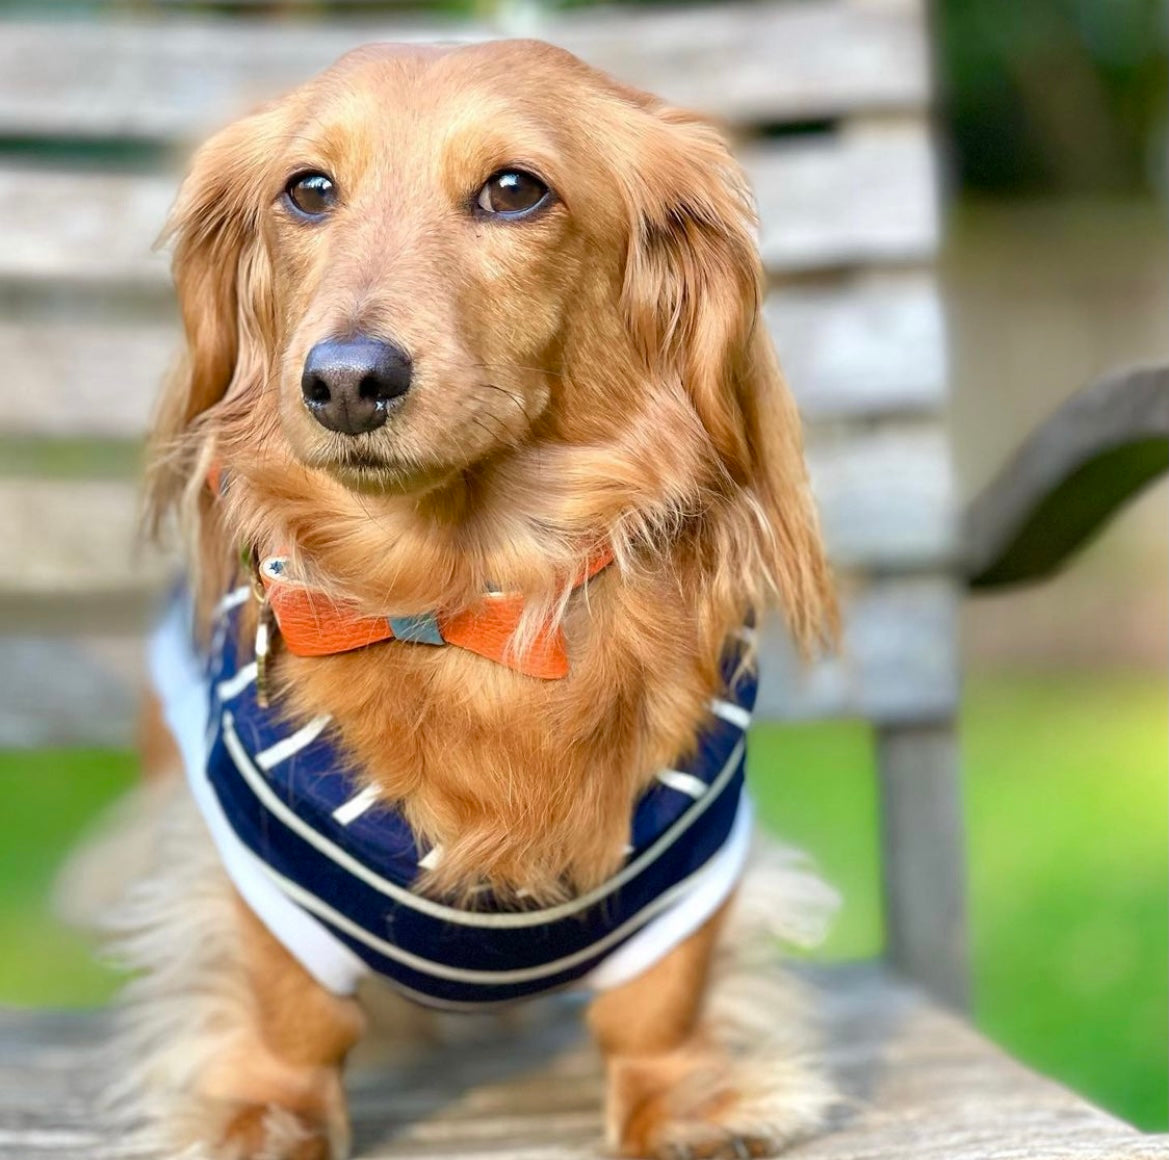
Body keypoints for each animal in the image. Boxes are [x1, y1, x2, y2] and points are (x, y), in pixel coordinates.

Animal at [93, 40, 841, 1160]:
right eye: (308, 191)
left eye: (513, 189)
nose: (346, 381)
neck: (458, 600)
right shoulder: (254, 855)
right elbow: (286, 1003)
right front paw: (265, 1109)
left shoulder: (692, 855)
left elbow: (661, 999)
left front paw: (681, 1101)